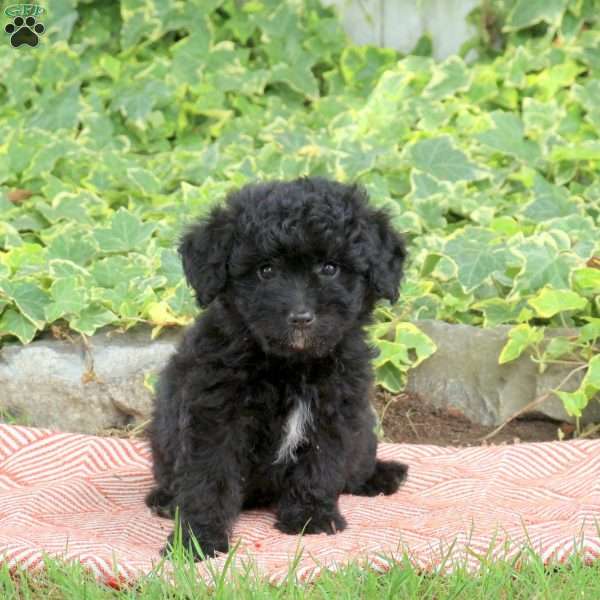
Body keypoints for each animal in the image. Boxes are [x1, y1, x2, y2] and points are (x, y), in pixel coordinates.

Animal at [145, 176, 408, 560]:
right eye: (265, 270)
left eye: (330, 268)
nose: (300, 318)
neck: (289, 366)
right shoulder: (215, 415)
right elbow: (209, 478)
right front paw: (197, 540)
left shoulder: (334, 413)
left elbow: (320, 465)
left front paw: (310, 518)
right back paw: (164, 501)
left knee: (358, 463)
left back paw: (382, 475)